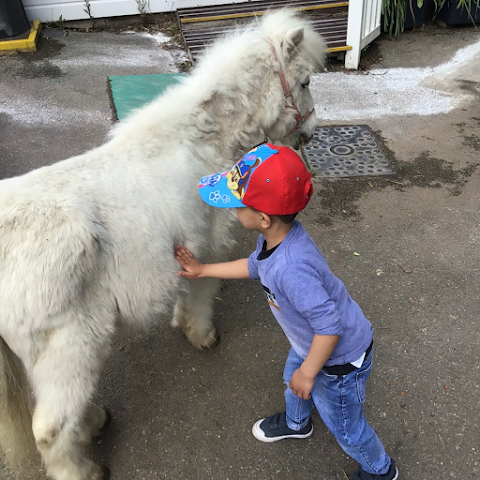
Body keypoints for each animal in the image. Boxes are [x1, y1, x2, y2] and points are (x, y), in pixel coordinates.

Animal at [0, 10, 324, 480]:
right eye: (304, 82)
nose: (311, 135)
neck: (197, 140)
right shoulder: (208, 246)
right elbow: (201, 295)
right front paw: (200, 334)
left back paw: (94, 422)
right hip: (69, 347)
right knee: (49, 428)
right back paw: (86, 465)